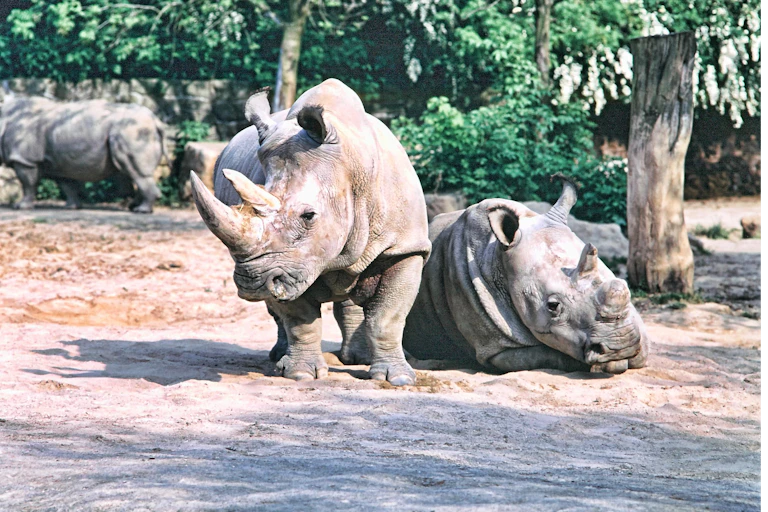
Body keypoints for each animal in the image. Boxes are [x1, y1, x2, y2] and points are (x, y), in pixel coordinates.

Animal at [0, 95, 164, 212]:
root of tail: (155, 120)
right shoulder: (59, 161)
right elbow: (67, 185)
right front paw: (72, 207)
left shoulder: (25, 159)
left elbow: (28, 184)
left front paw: (20, 206)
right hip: (134, 131)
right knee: (134, 172)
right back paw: (133, 206)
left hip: (132, 132)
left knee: (136, 171)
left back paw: (141, 211)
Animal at [190, 79, 431, 386]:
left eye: (308, 216)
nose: (252, 283)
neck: (350, 168)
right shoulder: (286, 262)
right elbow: (299, 317)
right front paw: (301, 374)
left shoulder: (405, 247)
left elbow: (387, 317)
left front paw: (395, 379)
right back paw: (278, 357)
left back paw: (358, 358)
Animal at [398, 178, 650, 373]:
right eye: (552, 306)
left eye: (623, 285)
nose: (621, 346)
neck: (497, 257)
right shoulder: (497, 349)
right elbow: (550, 354)